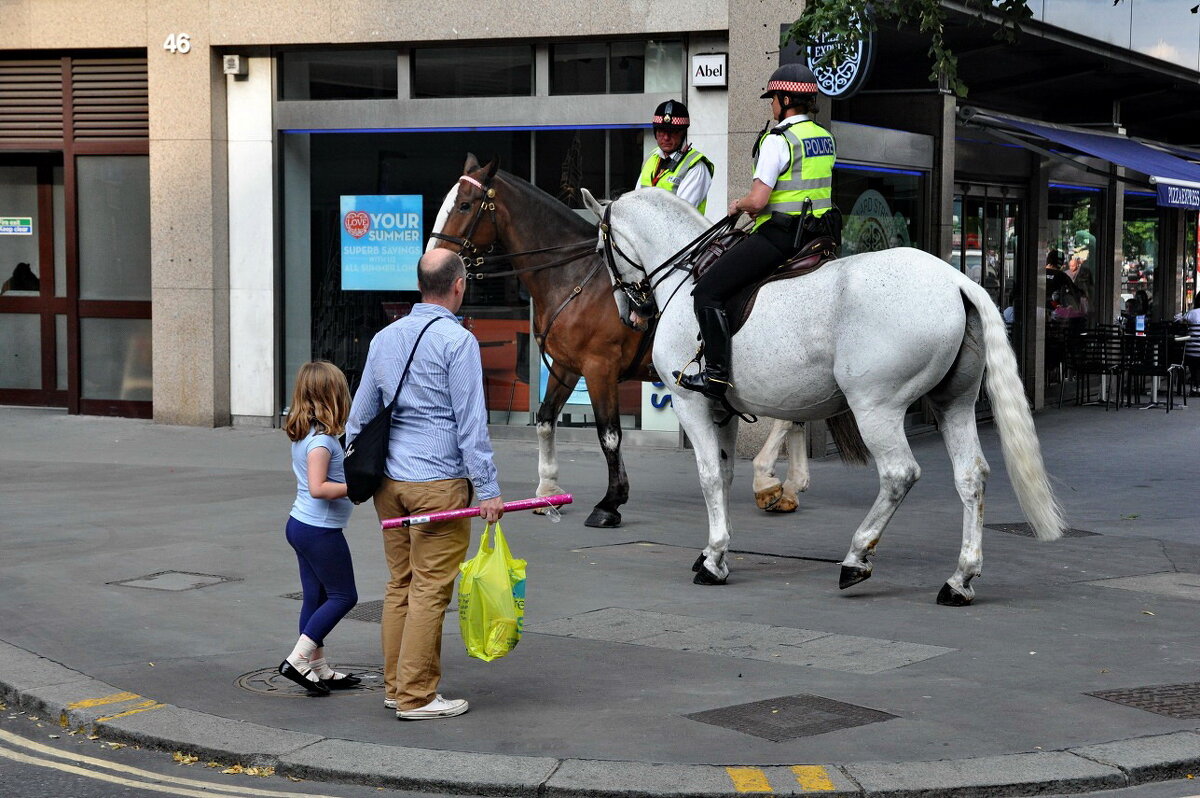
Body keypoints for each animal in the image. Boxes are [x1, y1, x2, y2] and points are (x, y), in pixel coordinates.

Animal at [432, 156, 806, 528]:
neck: (572, 278)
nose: (434, 259)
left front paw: (610, 502)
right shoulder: (567, 366)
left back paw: (768, 481)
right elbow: (545, 420)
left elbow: (609, 435)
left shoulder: (600, 368)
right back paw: (789, 485)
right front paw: (547, 491)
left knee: (787, 415)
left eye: (465, 204)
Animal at [585, 188, 1065, 604]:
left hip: (876, 408)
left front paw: (715, 558)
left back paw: (857, 558)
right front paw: (713, 551)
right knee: (971, 476)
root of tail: (954, 280)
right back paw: (960, 579)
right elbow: (724, 474)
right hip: (955, 404)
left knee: (899, 474)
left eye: (601, 249)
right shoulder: (723, 410)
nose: (631, 314)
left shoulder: (694, 404)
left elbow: (709, 477)